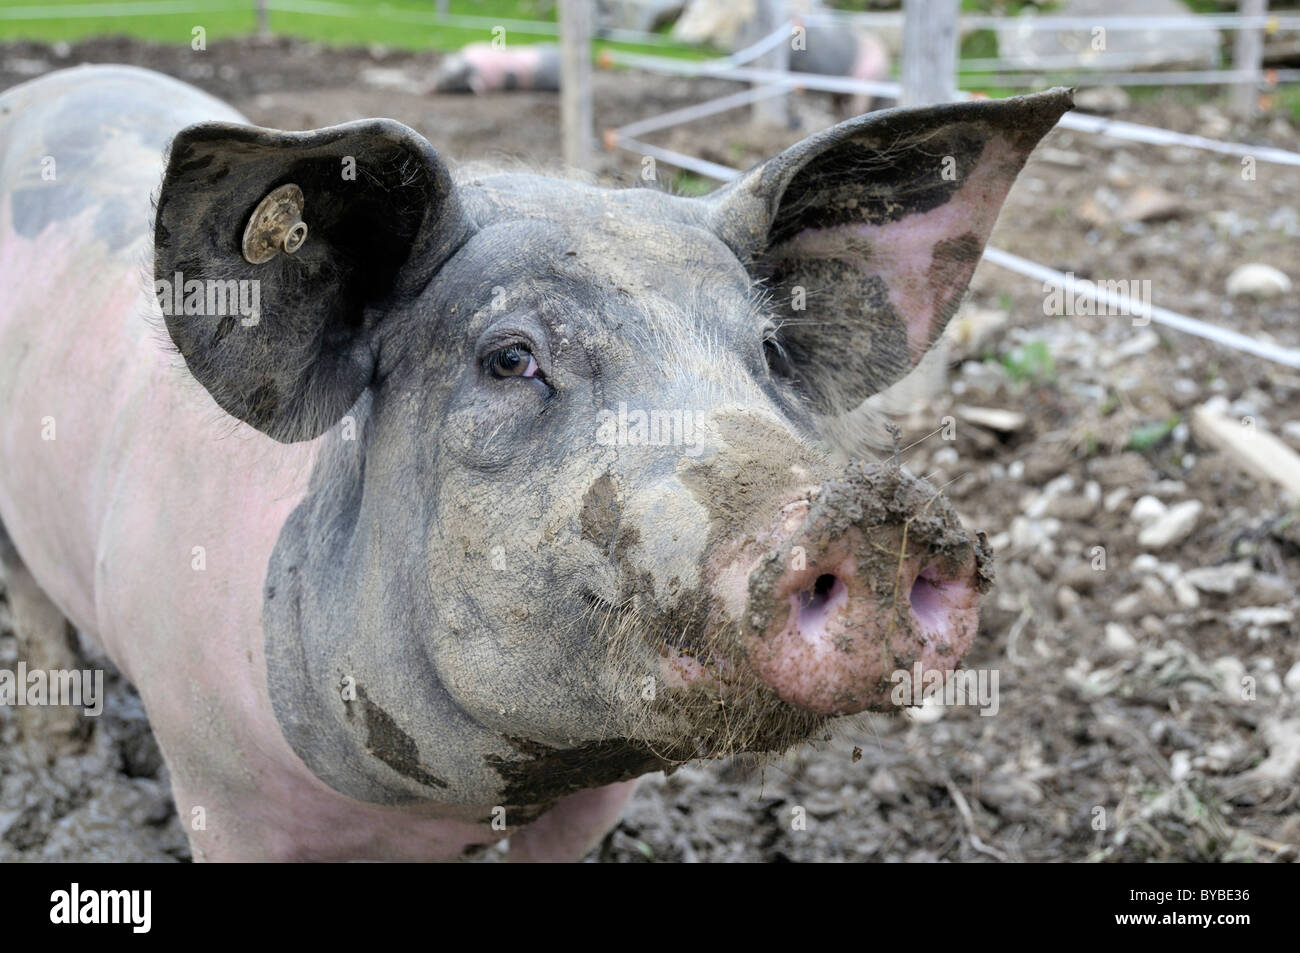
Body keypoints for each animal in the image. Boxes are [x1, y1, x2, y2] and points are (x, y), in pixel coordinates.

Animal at [0, 63, 1071, 861]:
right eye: (511, 358)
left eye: (767, 353)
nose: (875, 511)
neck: (459, 812)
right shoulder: (218, 782)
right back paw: (57, 741)